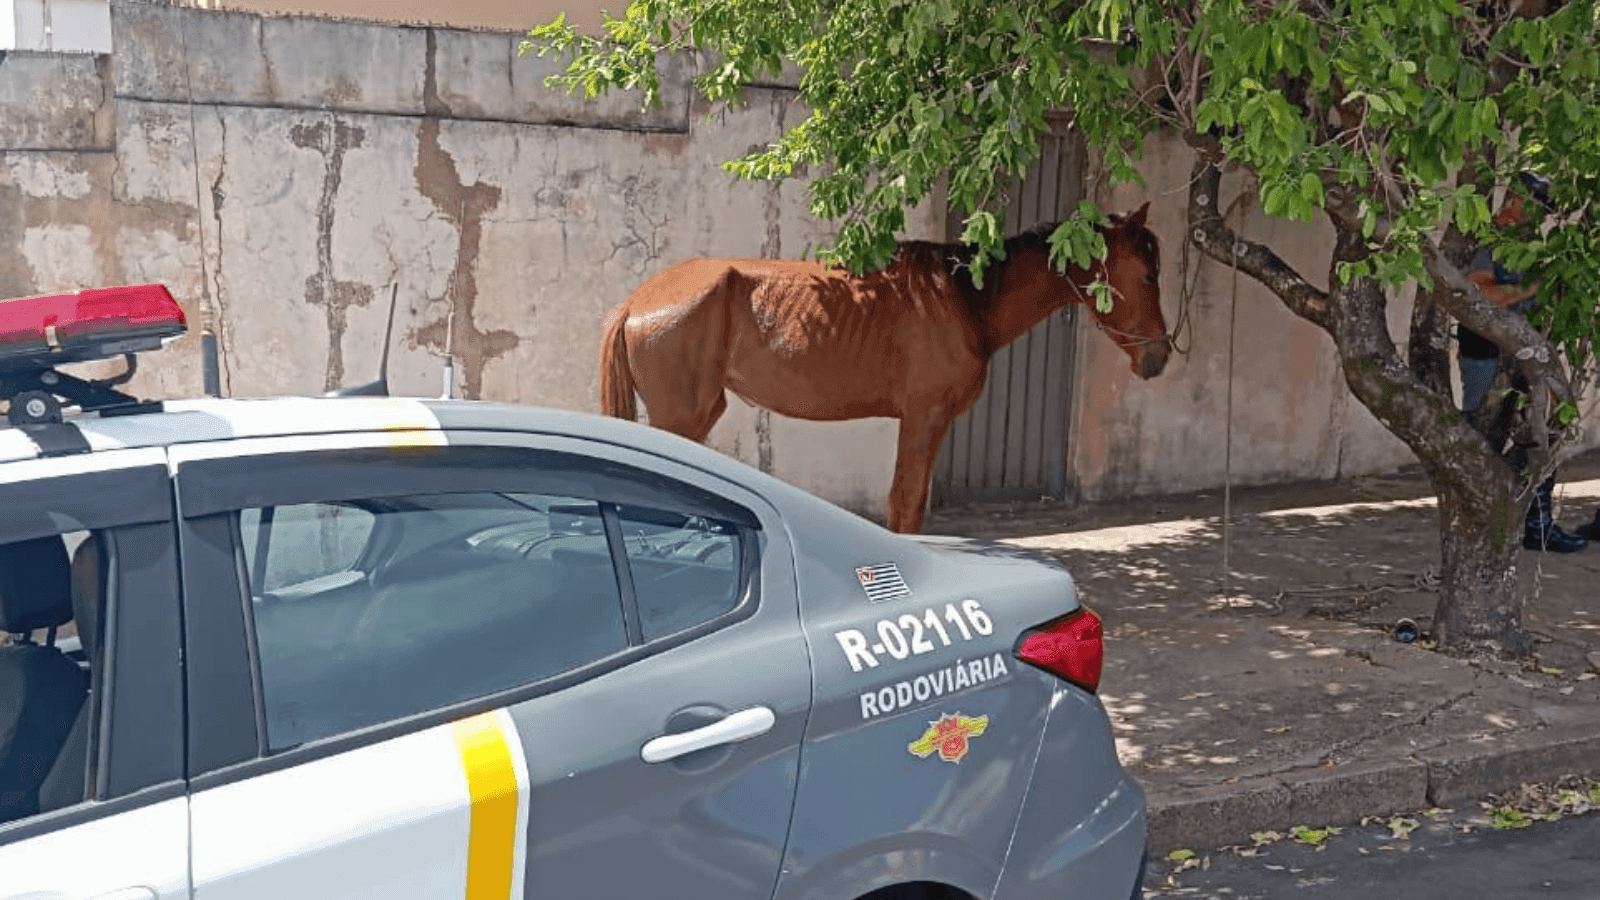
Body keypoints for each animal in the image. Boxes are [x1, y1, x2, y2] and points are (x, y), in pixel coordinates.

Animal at [599, 203, 1171, 533]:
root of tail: (637, 300)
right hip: (682, 417)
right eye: (1147, 275)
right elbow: (906, 503)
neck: (963, 298)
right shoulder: (924, 416)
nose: (1159, 355)